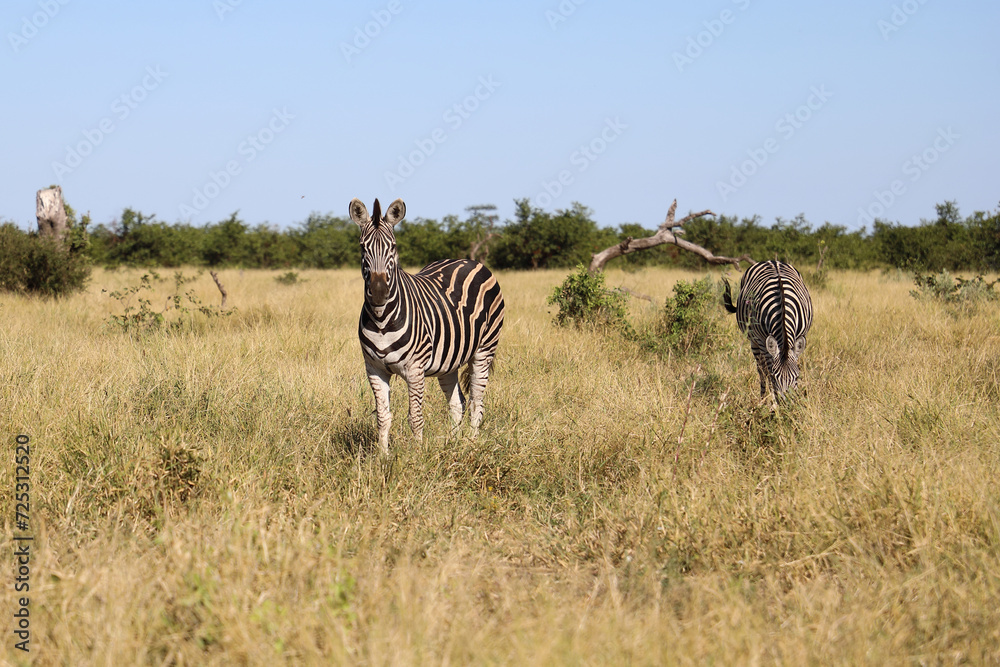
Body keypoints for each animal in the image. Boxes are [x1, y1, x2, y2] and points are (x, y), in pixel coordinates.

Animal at [349, 197, 505, 455]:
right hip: (449, 360)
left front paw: (417, 457)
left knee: (477, 402)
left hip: (485, 349)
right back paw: (453, 445)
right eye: (363, 248)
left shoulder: (415, 369)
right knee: (458, 403)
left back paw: (472, 444)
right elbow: (383, 417)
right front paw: (383, 457)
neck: (382, 320)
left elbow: (415, 417)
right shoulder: (374, 369)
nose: (380, 293)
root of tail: (469, 260)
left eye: (393, 247)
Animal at [723, 260, 813, 399]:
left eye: (797, 377)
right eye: (775, 378)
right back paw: (763, 397)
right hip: (754, 342)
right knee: (761, 369)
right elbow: (768, 371)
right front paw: (774, 401)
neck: (783, 309)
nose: (786, 402)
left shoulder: (801, 336)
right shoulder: (762, 341)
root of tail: (772, 261)